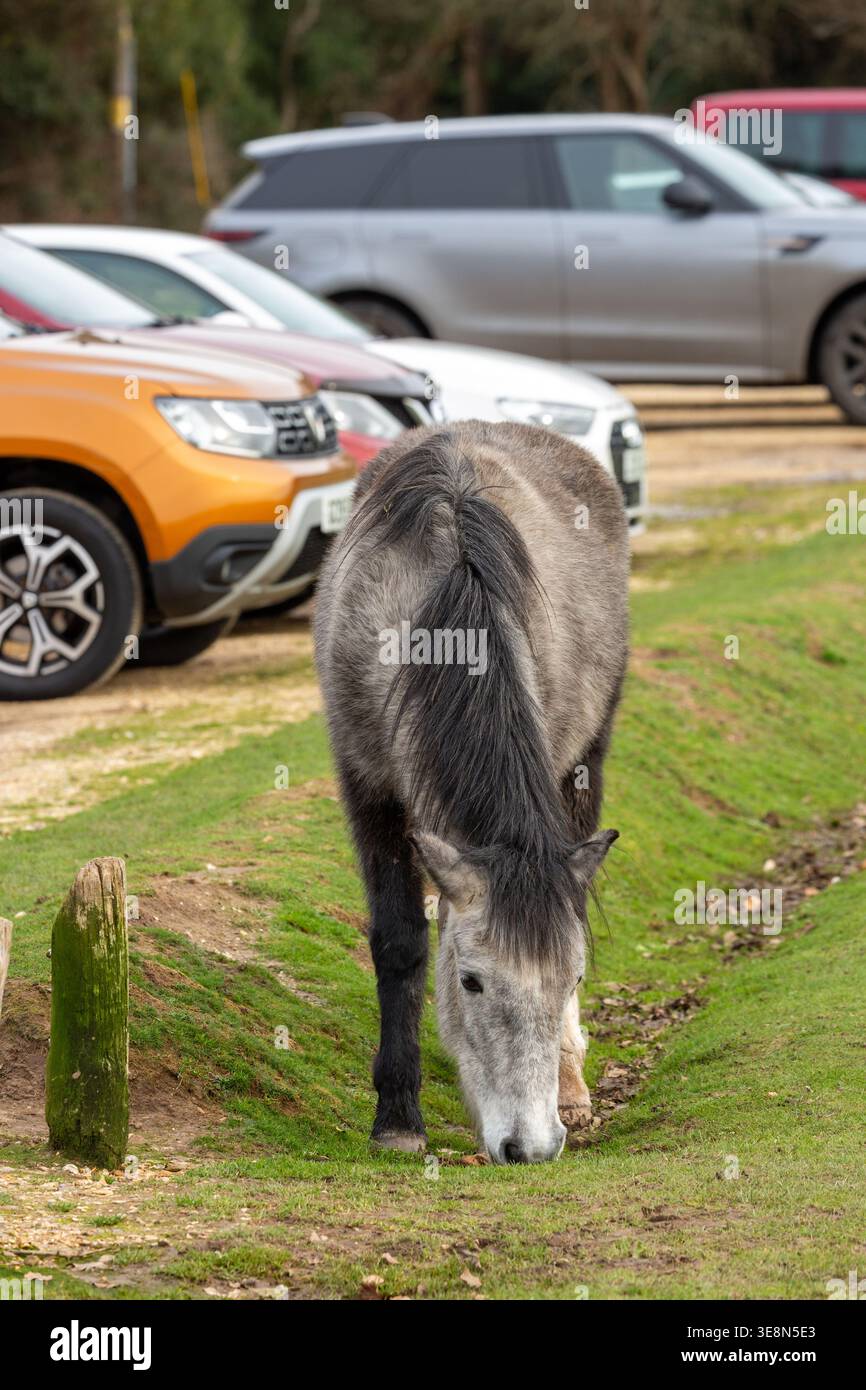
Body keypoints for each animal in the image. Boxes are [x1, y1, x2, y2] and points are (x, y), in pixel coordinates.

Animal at [314, 420, 629, 1163]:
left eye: (573, 977)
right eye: (471, 981)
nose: (532, 1146)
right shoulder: (368, 789)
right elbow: (400, 943)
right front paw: (398, 1118)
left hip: (586, 763)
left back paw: (571, 1083)